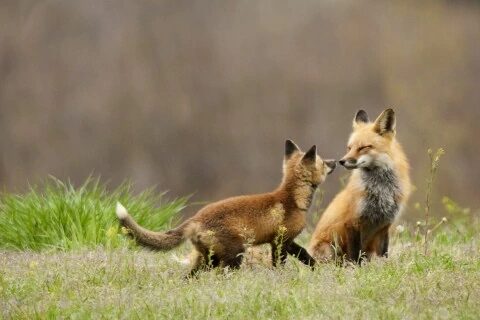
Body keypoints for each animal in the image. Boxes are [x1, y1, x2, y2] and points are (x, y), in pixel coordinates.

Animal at [116, 140, 336, 276]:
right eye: (324, 162)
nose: (336, 161)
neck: (292, 199)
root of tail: (196, 218)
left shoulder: (285, 242)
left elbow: (305, 256)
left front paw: (316, 269)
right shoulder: (282, 241)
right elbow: (282, 263)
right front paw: (281, 278)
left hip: (208, 259)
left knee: (189, 277)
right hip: (233, 255)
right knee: (223, 275)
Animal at [310, 109, 410, 264]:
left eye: (363, 147)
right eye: (349, 148)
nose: (341, 161)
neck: (381, 190)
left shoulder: (385, 225)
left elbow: (384, 253)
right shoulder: (352, 222)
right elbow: (354, 255)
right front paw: (355, 269)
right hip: (329, 250)